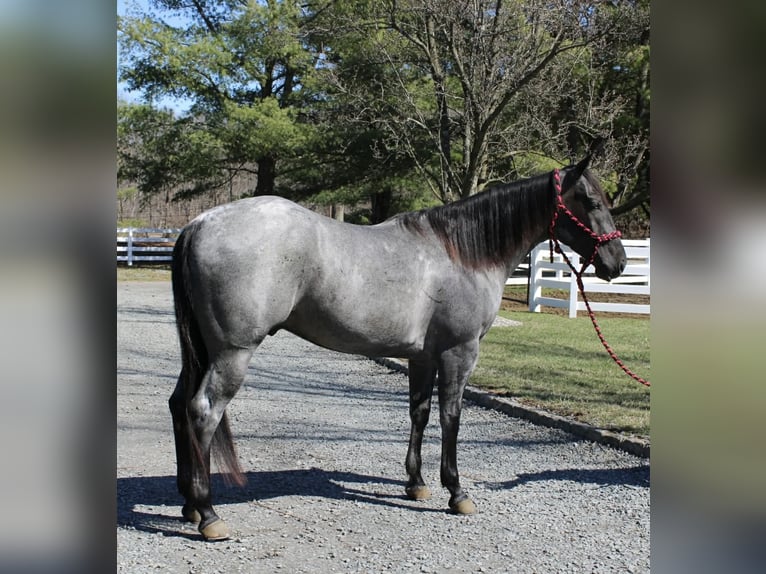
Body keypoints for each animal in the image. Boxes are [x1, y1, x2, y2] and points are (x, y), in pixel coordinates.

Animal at [169, 155, 626, 540]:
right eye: (589, 200)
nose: (617, 261)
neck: (463, 254)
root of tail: (199, 224)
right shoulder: (459, 353)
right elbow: (450, 417)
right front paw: (456, 492)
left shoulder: (421, 357)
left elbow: (419, 414)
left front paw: (416, 484)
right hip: (232, 353)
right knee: (203, 411)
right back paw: (208, 515)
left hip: (204, 352)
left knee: (179, 406)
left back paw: (189, 504)